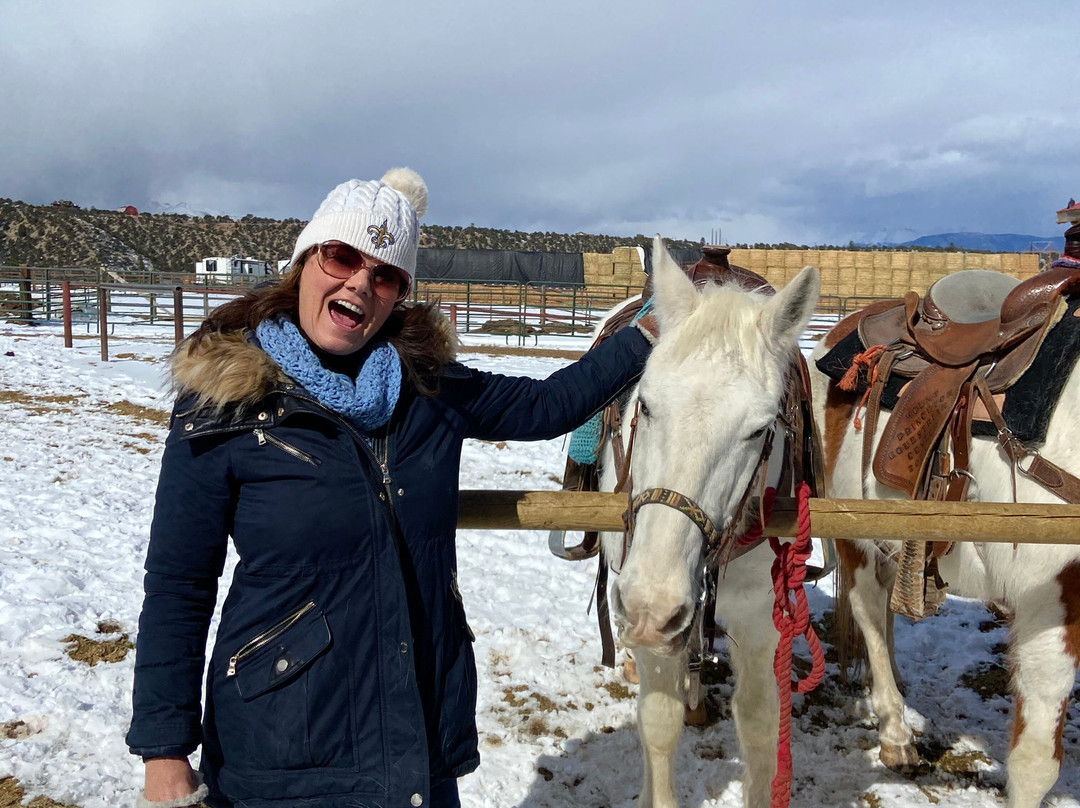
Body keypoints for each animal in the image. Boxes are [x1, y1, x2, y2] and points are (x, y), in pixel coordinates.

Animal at [600, 236, 816, 803]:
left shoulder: (760, 618)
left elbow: (761, 731)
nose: (650, 606)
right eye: (646, 405)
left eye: (759, 429)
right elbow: (658, 721)